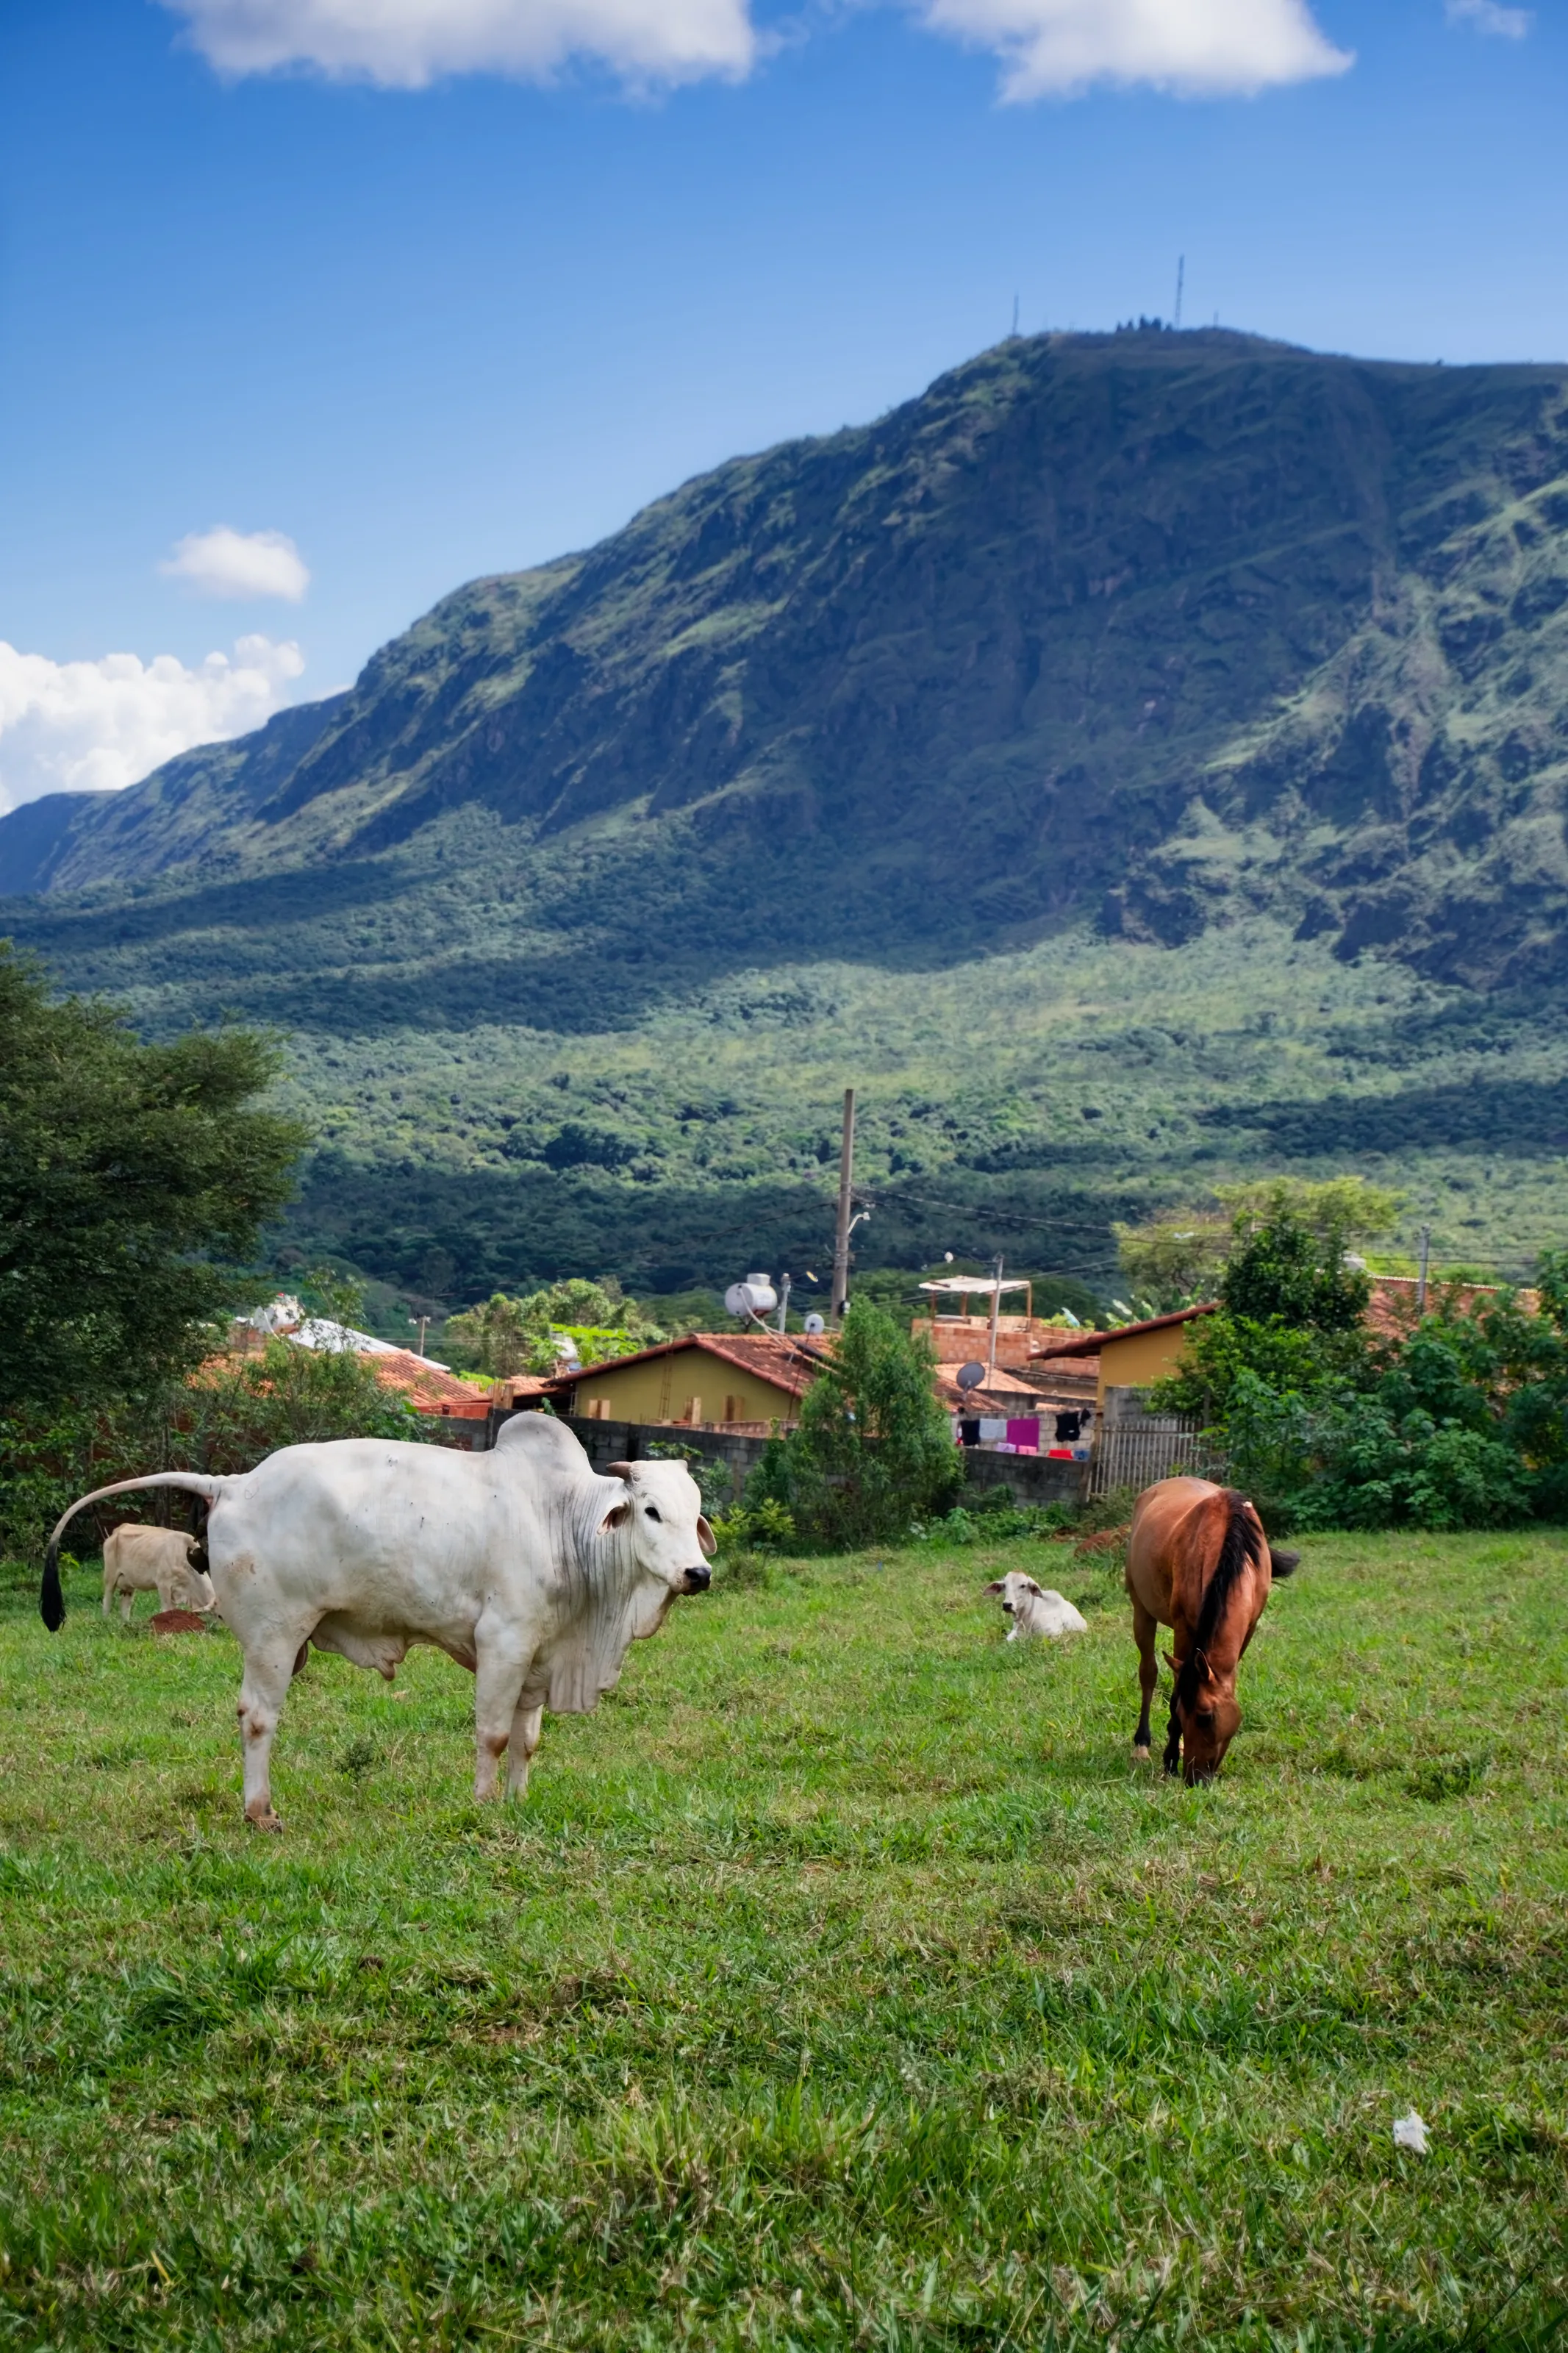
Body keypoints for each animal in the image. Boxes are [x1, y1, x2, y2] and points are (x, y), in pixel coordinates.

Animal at [102, 1523, 216, 1623]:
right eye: (219, 1615)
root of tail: (120, 1528)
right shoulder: (163, 1584)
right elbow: (167, 1609)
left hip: (129, 1584)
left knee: (125, 1605)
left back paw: (125, 1623)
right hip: (110, 1577)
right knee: (107, 1601)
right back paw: (105, 1620)